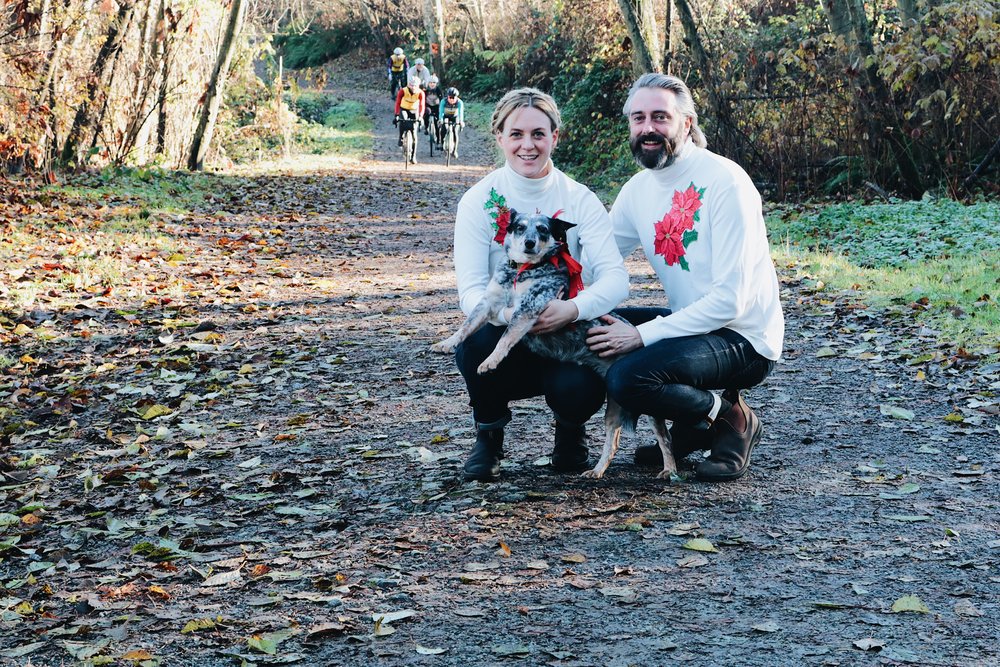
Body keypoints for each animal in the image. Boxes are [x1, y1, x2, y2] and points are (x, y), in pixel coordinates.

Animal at [432, 210, 680, 480]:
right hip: (614, 410)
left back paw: (669, 469)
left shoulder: (528, 309)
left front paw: (490, 360)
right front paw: (446, 342)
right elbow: (467, 326)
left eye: (542, 229)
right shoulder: (488, 302)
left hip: (646, 408)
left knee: (666, 438)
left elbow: (504, 338)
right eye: (520, 227)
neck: (522, 270)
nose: (530, 243)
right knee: (613, 442)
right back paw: (597, 471)